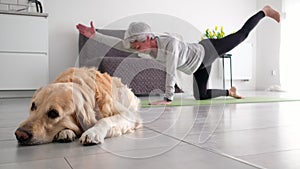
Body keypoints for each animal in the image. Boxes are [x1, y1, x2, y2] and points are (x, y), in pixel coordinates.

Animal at [15, 67, 143, 145]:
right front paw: (65, 132)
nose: (20, 134)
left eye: (53, 113)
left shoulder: (129, 114)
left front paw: (92, 133)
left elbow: (104, 120)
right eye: (33, 106)